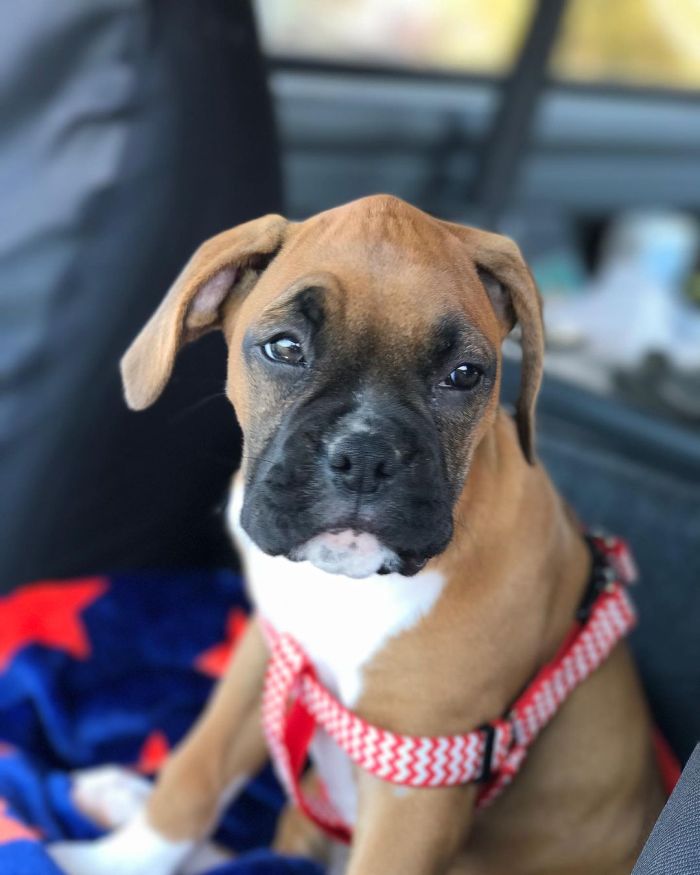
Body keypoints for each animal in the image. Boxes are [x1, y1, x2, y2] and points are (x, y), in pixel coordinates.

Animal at [52, 198, 664, 875]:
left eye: (465, 375)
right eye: (284, 348)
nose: (367, 456)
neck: (348, 591)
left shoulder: (421, 782)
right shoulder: (269, 656)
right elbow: (195, 773)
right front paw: (110, 862)